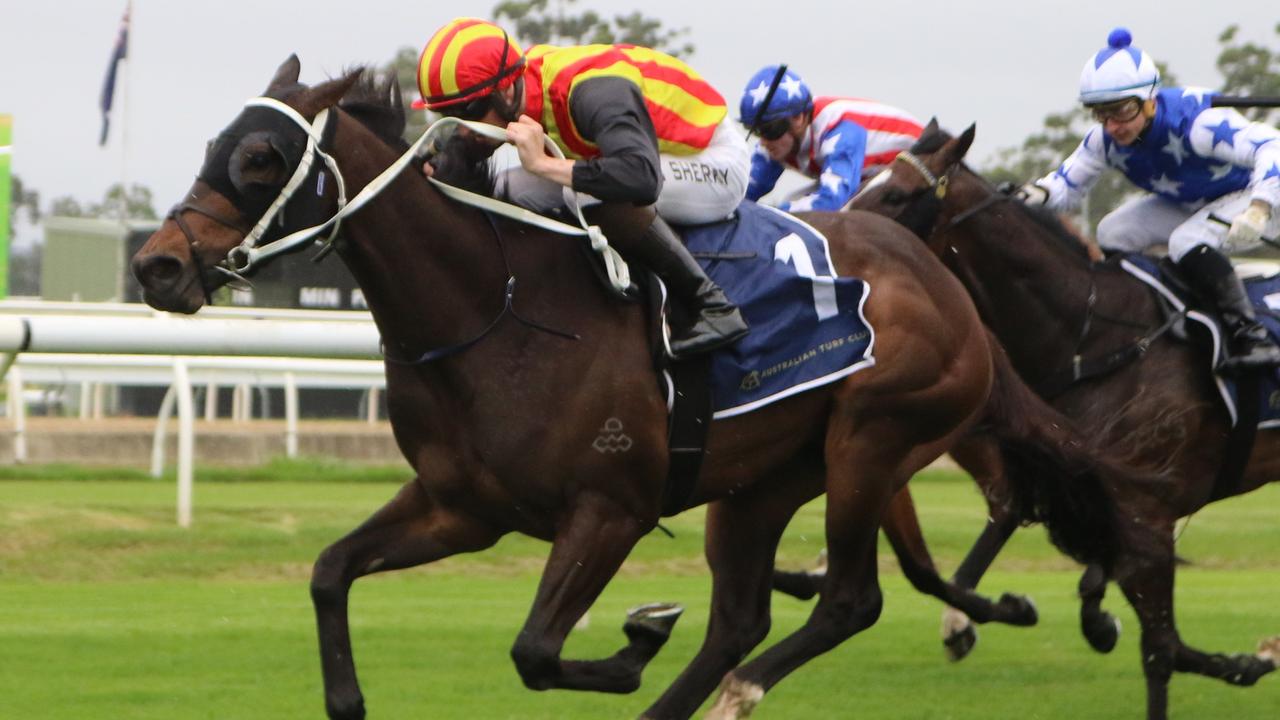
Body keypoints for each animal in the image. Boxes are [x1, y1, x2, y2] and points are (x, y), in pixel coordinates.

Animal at [132, 57, 1141, 717]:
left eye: (260, 159)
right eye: (217, 145)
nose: (156, 266)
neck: (496, 306)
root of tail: (947, 287)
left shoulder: (610, 507)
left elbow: (536, 650)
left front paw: (635, 640)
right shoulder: (462, 507)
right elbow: (329, 573)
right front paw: (347, 695)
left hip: (873, 443)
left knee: (850, 601)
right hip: (762, 481)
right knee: (739, 618)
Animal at [849, 117, 1280, 717]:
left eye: (895, 195)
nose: (837, 233)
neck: (1091, 337)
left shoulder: (1146, 513)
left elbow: (1161, 649)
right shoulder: (1082, 497)